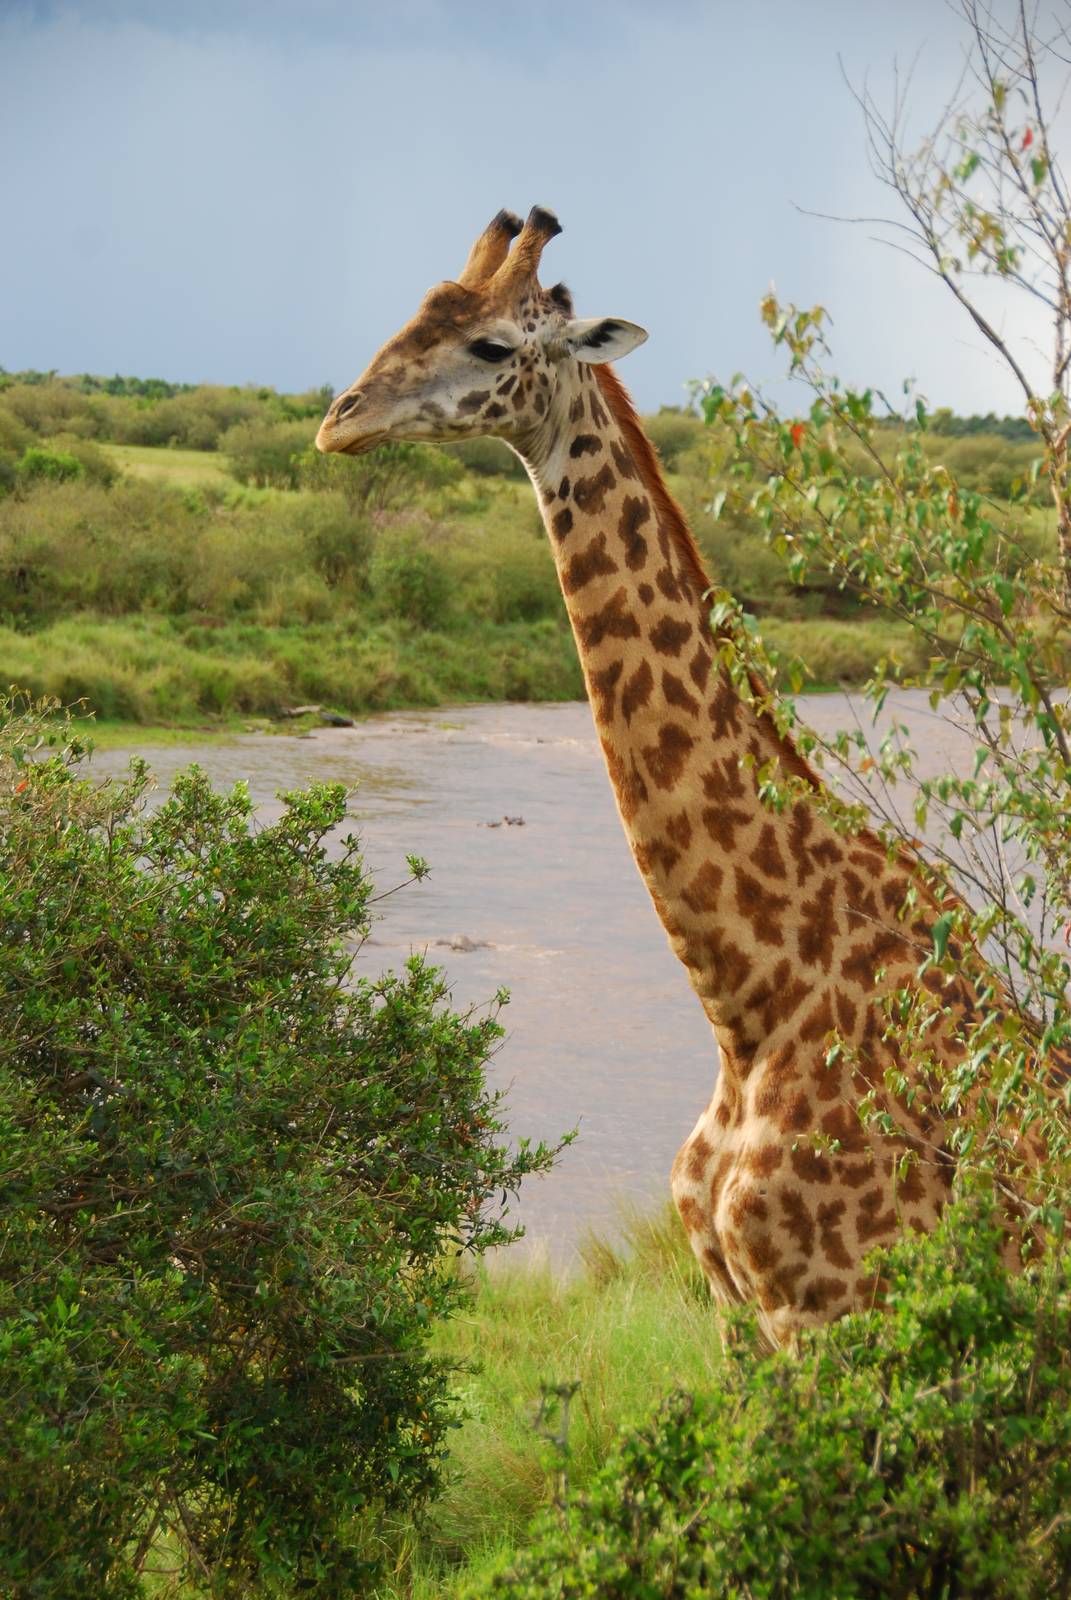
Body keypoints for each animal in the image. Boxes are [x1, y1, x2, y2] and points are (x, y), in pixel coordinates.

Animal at [315, 206, 986, 1347]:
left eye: (490, 344)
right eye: (414, 313)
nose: (338, 420)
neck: (750, 1004)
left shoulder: (834, 1312)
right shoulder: (735, 1317)